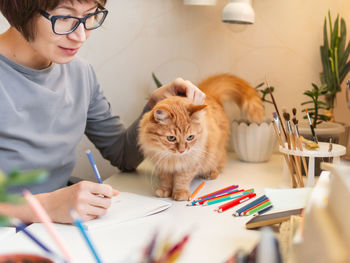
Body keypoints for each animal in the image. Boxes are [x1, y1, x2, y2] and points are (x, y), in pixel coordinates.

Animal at [138, 73, 264, 201]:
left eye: (190, 137)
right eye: (171, 138)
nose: (182, 150)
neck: (174, 158)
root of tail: (211, 95)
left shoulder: (192, 163)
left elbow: (182, 180)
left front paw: (180, 193)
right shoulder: (161, 165)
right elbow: (165, 180)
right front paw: (164, 190)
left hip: (216, 154)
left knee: (220, 163)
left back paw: (211, 173)